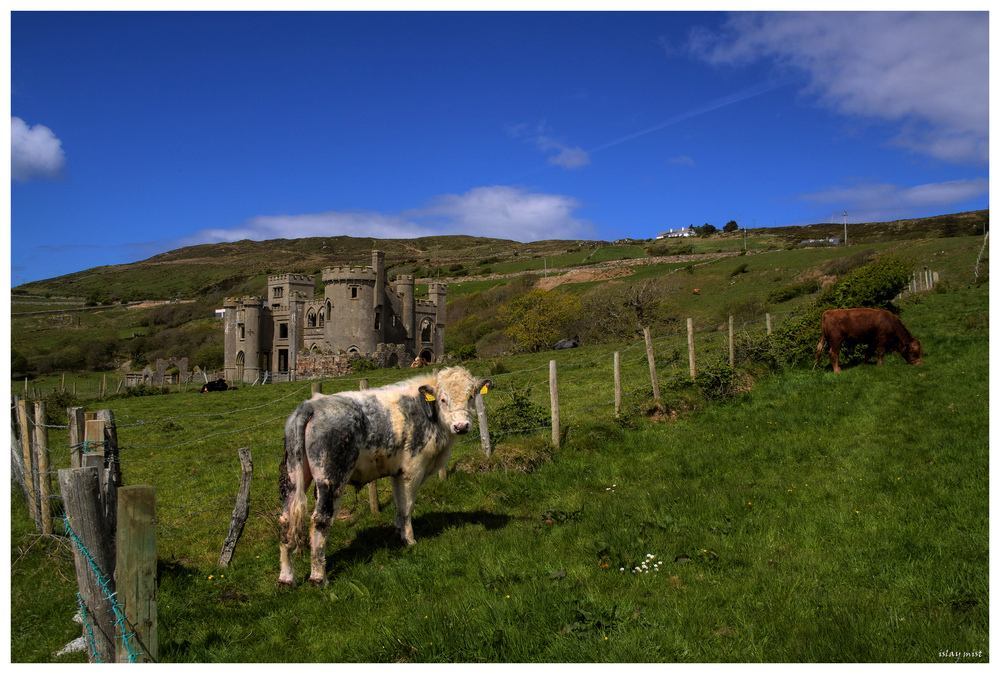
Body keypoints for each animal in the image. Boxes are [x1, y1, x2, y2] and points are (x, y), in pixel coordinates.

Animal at [280, 362, 490, 584]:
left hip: (293, 476)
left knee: (285, 520)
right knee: (320, 520)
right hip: (331, 478)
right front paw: (409, 540)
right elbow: (407, 506)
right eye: (443, 399)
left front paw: (398, 530)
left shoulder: (397, 472)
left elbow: (399, 503)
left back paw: (286, 578)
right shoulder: (412, 469)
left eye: (471, 396)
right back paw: (319, 577)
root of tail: (311, 405)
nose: (461, 426)